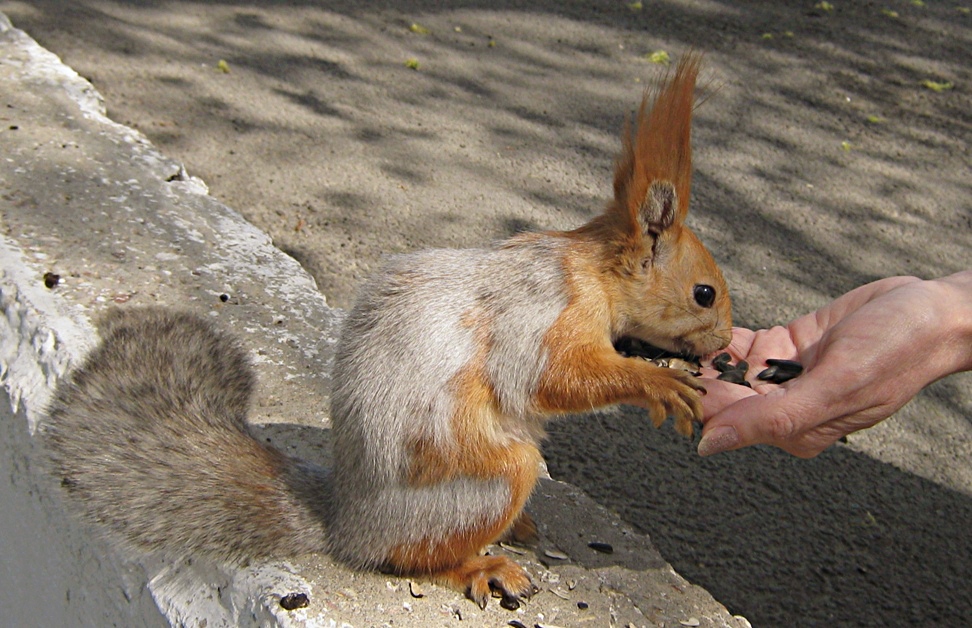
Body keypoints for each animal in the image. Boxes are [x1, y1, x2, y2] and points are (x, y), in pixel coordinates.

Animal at [43, 52, 728, 608]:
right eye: (705, 293)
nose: (724, 345)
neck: (591, 272)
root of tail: (347, 524)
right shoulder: (542, 312)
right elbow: (550, 379)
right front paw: (655, 384)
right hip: (488, 481)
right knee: (412, 557)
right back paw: (481, 565)